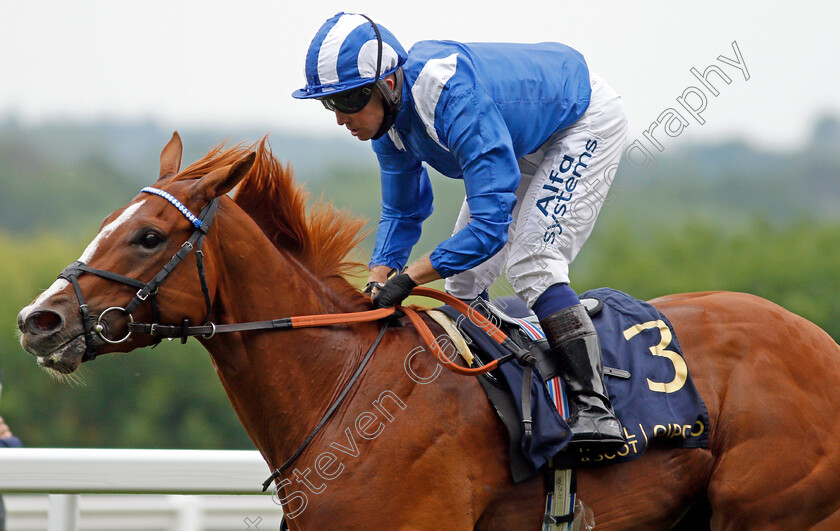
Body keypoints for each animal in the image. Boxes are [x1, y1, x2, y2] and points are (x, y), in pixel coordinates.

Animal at [16, 135, 840, 528]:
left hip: (768, 510)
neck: (343, 389)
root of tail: (820, 344)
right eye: (108, 222)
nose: (38, 319)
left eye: (149, 236)